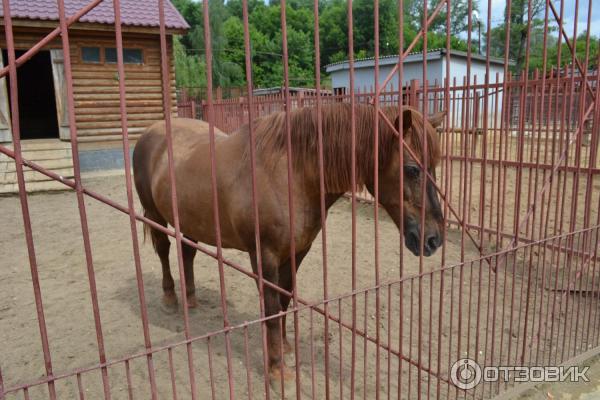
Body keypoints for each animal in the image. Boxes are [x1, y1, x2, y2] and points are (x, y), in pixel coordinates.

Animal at [134, 103, 448, 384]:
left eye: (435, 166)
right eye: (412, 169)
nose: (433, 239)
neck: (289, 175)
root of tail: (150, 132)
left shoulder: (297, 252)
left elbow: (285, 300)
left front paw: (284, 348)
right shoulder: (264, 256)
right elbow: (272, 310)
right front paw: (276, 370)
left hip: (190, 221)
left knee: (187, 253)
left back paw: (191, 300)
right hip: (154, 215)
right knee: (164, 251)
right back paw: (170, 299)